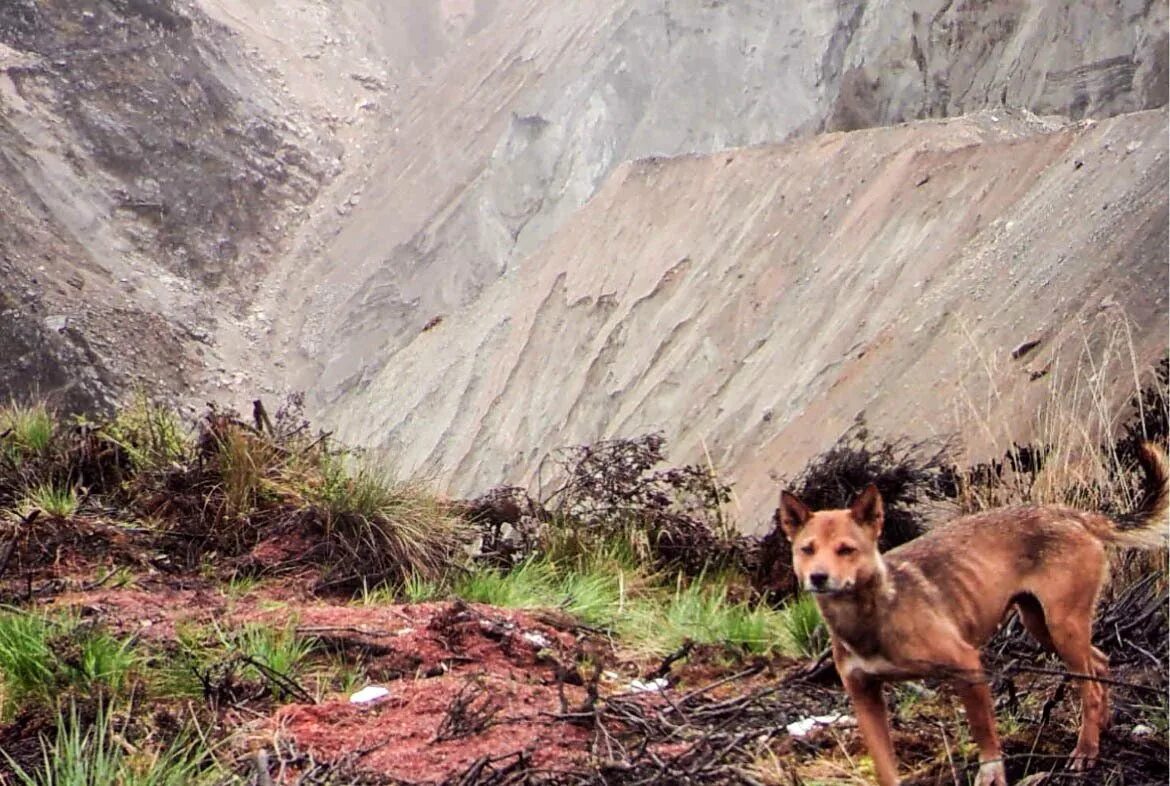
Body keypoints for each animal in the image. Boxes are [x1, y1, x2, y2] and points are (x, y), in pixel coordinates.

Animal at [776, 442, 1170, 785]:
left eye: (846, 549)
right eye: (807, 549)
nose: (818, 577)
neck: (872, 615)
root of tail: (1070, 514)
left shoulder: (966, 664)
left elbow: (984, 735)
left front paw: (991, 774)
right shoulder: (865, 698)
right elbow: (886, 770)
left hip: (1063, 626)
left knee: (1088, 687)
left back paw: (1086, 751)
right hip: (1040, 625)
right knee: (1100, 664)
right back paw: (1103, 727)